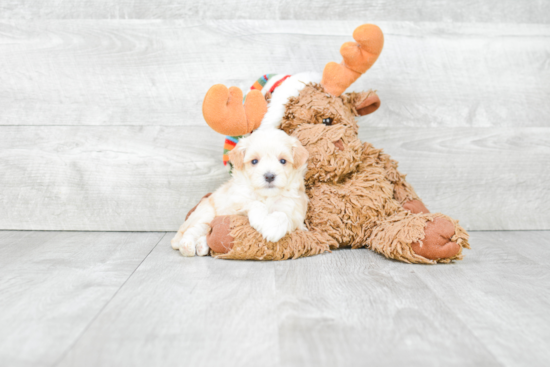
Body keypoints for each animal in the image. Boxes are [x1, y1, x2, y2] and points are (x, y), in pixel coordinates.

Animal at [172, 129, 310, 258]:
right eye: (254, 161)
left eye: (283, 161)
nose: (269, 176)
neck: (266, 196)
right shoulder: (234, 207)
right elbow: (254, 203)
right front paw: (261, 220)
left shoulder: (295, 214)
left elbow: (283, 215)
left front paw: (272, 229)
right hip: (206, 213)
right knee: (193, 230)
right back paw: (187, 246)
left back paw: (202, 246)